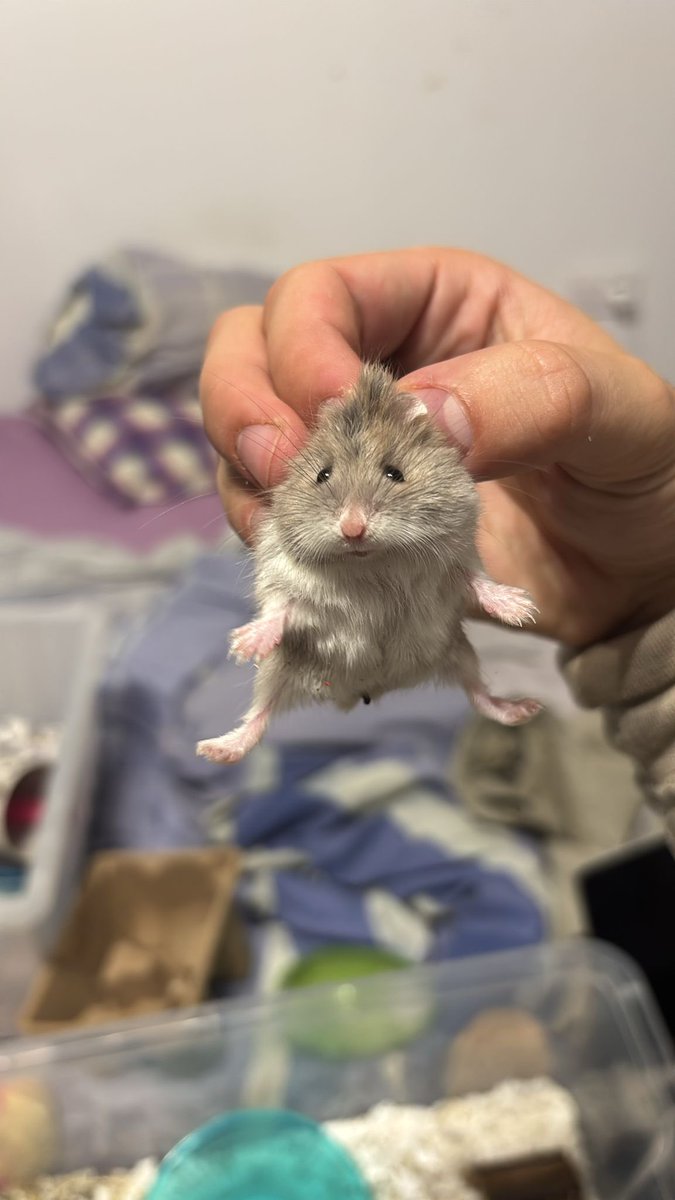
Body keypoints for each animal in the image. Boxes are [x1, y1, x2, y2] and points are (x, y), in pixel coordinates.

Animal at [197, 363, 541, 764]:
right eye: (322, 475)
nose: (353, 529)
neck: (371, 564)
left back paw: (524, 709)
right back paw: (214, 750)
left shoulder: (458, 560)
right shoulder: (282, 573)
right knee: (260, 715)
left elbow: (478, 581)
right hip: (277, 670)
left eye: (395, 472)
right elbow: (280, 607)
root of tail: (363, 692)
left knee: (479, 695)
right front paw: (242, 646)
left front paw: (522, 610)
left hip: (458, 651)